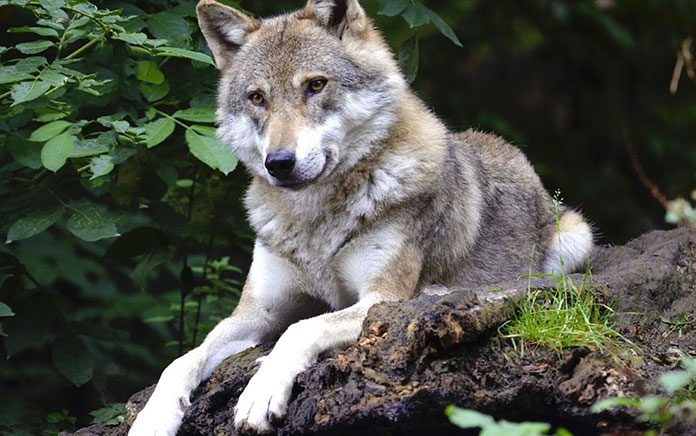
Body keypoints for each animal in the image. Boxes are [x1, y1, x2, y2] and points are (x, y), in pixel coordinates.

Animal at [126, 0, 592, 434]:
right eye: (257, 98)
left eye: (315, 85)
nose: (279, 163)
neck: (315, 222)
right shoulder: (255, 314)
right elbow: (183, 359)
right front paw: (153, 417)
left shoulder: (379, 299)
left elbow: (302, 328)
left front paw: (261, 392)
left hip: (574, 239)